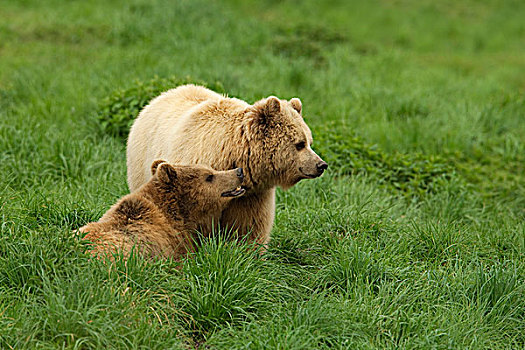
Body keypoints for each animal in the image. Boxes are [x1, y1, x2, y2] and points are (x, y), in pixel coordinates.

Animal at [126, 85, 326, 247]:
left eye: (309, 142)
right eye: (299, 144)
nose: (321, 165)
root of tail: (159, 97)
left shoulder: (252, 196)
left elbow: (249, 226)